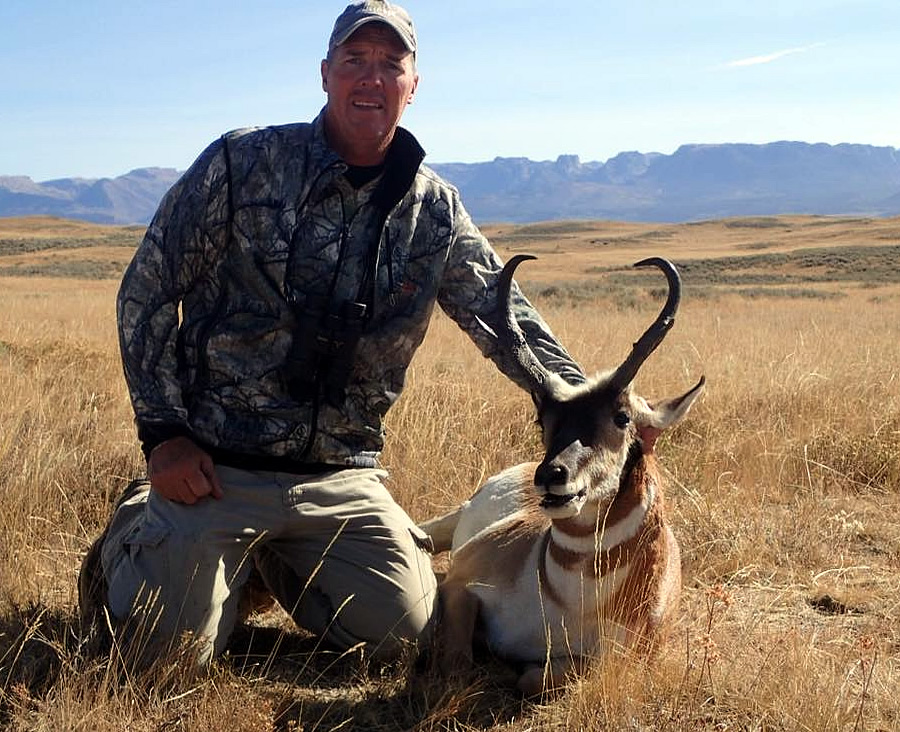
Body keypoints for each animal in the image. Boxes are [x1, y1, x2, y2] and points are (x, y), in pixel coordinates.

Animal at [418, 254, 708, 696]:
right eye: (543, 418)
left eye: (622, 417)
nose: (551, 474)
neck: (569, 602)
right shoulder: (457, 588)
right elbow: (458, 664)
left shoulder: (619, 661)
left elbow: (539, 675)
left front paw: (512, 671)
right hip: (451, 520)